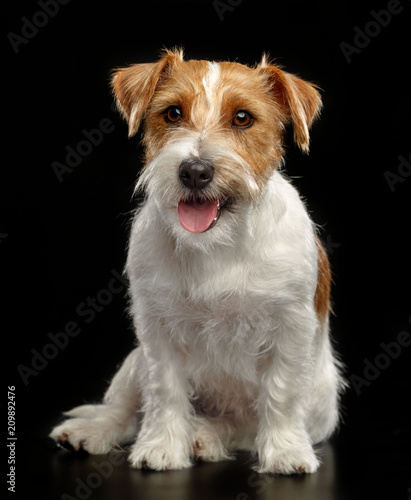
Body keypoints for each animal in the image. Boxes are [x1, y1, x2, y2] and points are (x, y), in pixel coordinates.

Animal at [51, 48, 348, 474]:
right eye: (173, 113)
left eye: (242, 118)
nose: (194, 170)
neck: (216, 244)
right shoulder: (156, 330)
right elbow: (164, 391)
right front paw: (161, 447)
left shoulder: (291, 328)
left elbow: (282, 394)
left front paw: (286, 451)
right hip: (133, 362)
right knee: (123, 410)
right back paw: (93, 431)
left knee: (241, 427)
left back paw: (205, 435)